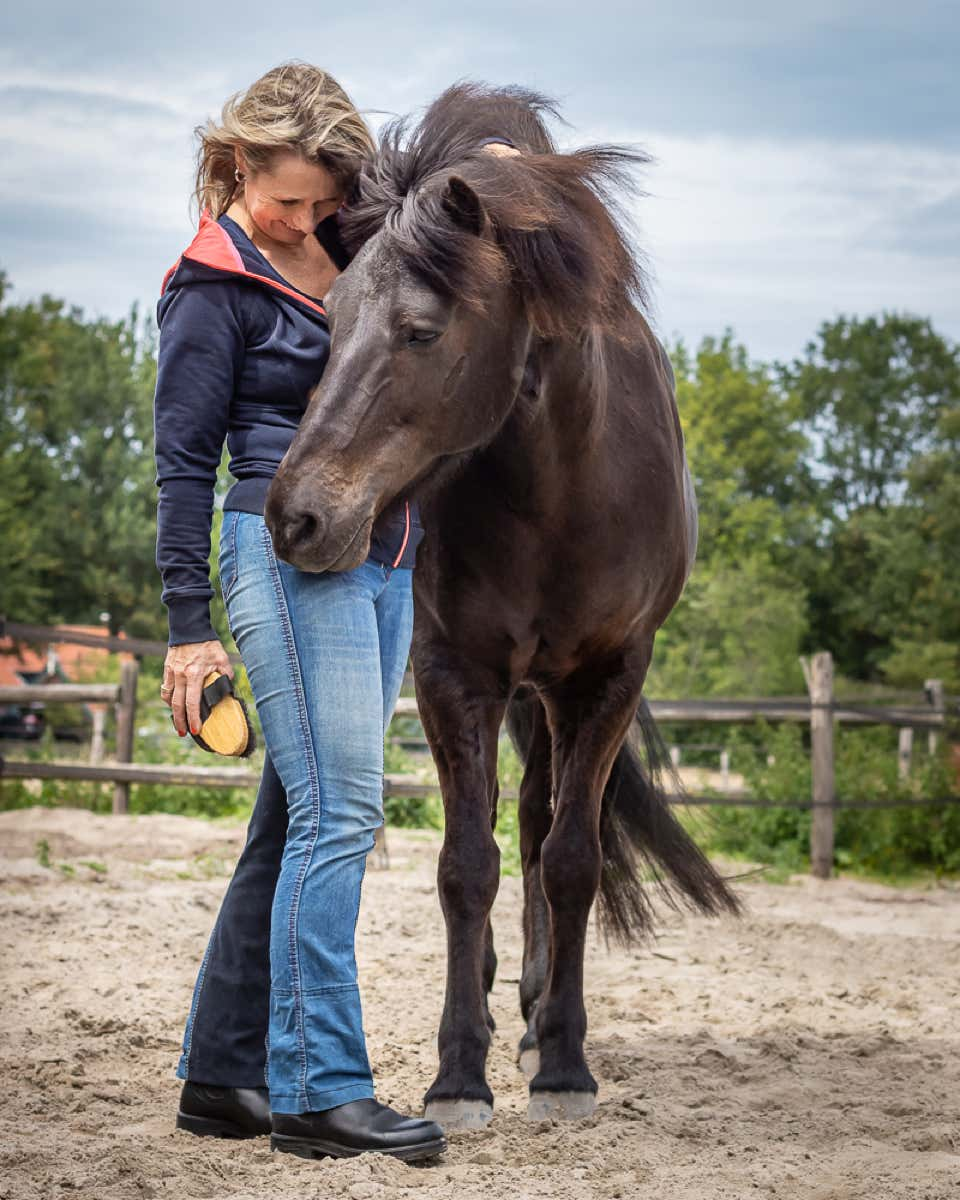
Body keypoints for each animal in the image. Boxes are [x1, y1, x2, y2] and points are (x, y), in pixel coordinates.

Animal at [266, 88, 739, 1128]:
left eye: (422, 330)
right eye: (329, 317)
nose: (297, 516)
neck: (562, 488)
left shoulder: (607, 680)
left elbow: (569, 858)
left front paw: (562, 1064)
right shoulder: (456, 676)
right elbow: (462, 865)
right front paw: (457, 1073)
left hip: (553, 697)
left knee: (536, 824)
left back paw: (529, 1012)